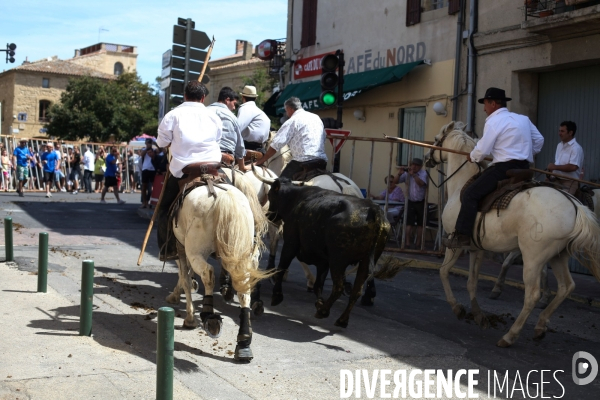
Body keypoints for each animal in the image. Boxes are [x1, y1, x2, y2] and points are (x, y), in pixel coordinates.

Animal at [163, 184, 268, 362]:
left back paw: (209, 317)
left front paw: (189, 316)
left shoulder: (180, 248)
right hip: (240, 253)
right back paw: (244, 343)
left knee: (208, 273)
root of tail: (225, 198)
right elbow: (187, 275)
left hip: (196, 251)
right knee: (243, 289)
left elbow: (184, 277)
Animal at [264, 179, 392, 328]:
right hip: (366, 261)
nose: (268, 216)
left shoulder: (290, 243)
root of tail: (373, 210)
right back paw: (342, 319)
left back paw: (324, 311)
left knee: (338, 287)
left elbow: (282, 268)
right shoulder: (323, 260)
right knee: (356, 290)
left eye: (270, 195)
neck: (296, 198)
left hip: (338, 261)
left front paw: (277, 296)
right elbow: (318, 284)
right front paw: (319, 302)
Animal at [422, 122, 600, 346]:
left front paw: (458, 308)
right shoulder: (476, 248)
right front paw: (479, 316)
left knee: (532, 295)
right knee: (566, 287)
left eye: (437, 139)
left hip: (533, 257)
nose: (426, 158)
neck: (461, 185)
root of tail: (574, 205)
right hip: (559, 255)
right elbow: (472, 283)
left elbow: (444, 272)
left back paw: (510, 336)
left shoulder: (455, 244)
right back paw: (540, 326)